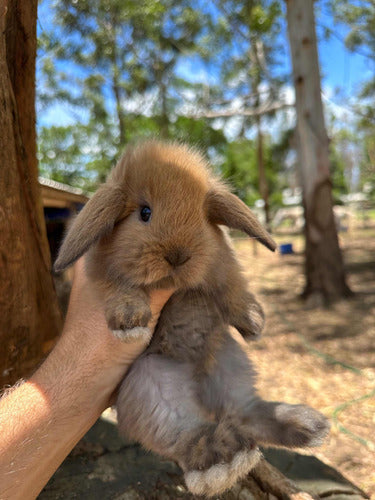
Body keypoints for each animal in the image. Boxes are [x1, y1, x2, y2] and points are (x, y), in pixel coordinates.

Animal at [54, 140, 330, 496]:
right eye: (144, 213)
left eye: (201, 215)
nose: (178, 255)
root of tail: (199, 382)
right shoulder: (101, 275)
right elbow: (120, 288)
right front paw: (131, 322)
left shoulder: (222, 265)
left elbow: (234, 287)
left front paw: (253, 321)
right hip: (152, 386)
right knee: (191, 435)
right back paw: (223, 461)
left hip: (229, 363)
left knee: (245, 411)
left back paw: (307, 424)